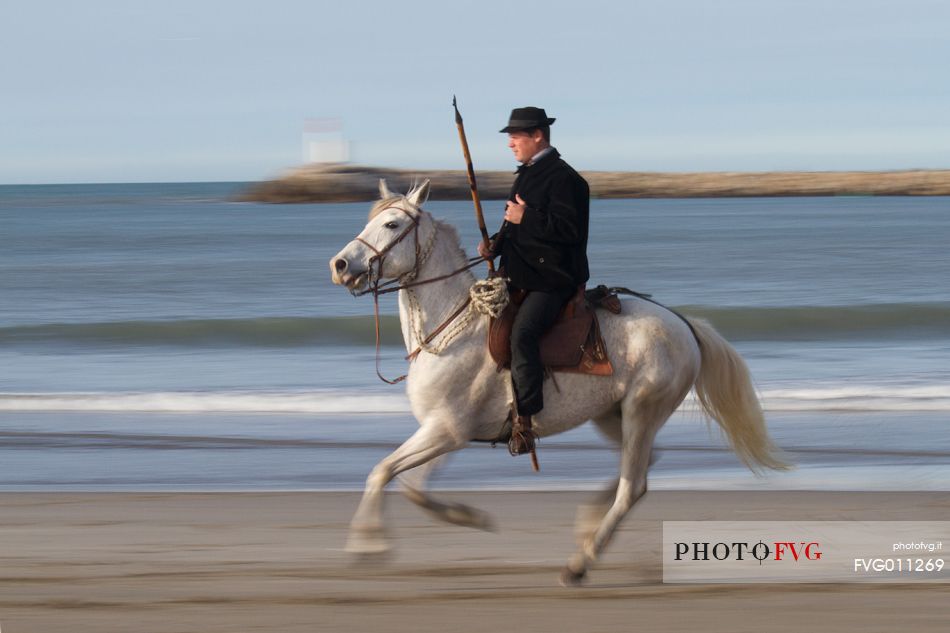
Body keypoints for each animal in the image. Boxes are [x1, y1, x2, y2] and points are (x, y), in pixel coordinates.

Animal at [330, 178, 792, 584]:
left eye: (392, 224)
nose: (340, 265)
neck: (453, 330)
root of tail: (683, 324)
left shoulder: (445, 431)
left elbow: (381, 471)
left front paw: (368, 545)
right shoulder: (447, 433)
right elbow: (411, 486)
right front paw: (468, 516)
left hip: (642, 411)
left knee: (632, 487)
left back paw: (580, 562)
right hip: (612, 416)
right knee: (643, 471)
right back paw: (586, 524)